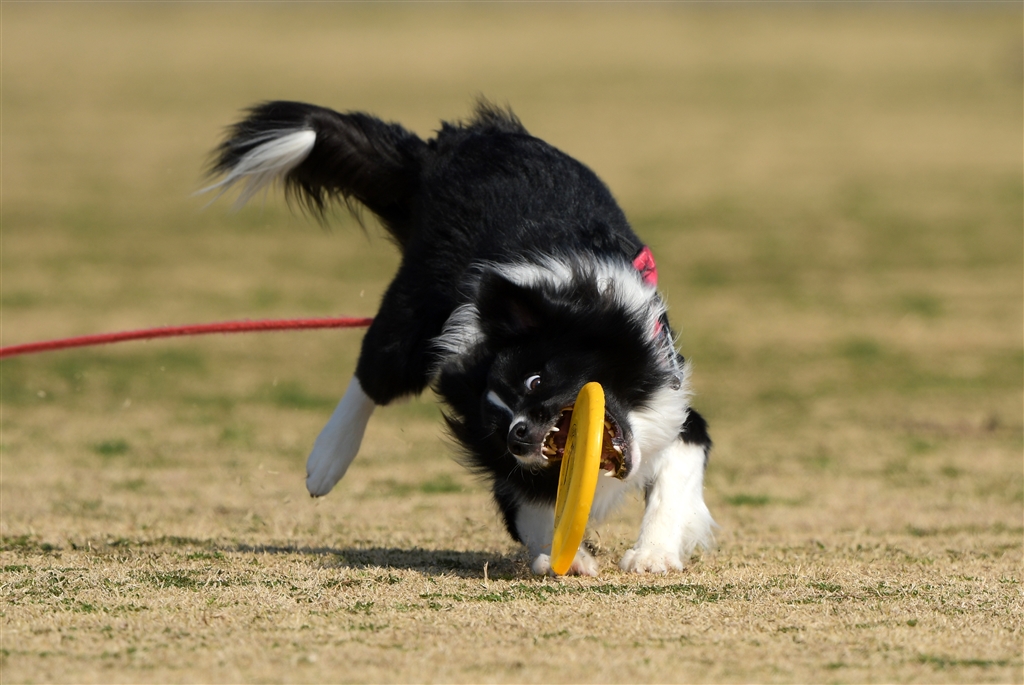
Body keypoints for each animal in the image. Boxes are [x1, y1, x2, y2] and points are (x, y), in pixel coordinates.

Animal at [205, 100, 715, 575]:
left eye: (535, 381)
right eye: (496, 424)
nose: (517, 435)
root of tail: (447, 147)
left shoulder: (676, 408)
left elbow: (672, 483)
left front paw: (651, 555)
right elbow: (527, 507)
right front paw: (562, 558)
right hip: (411, 315)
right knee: (374, 372)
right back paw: (327, 459)